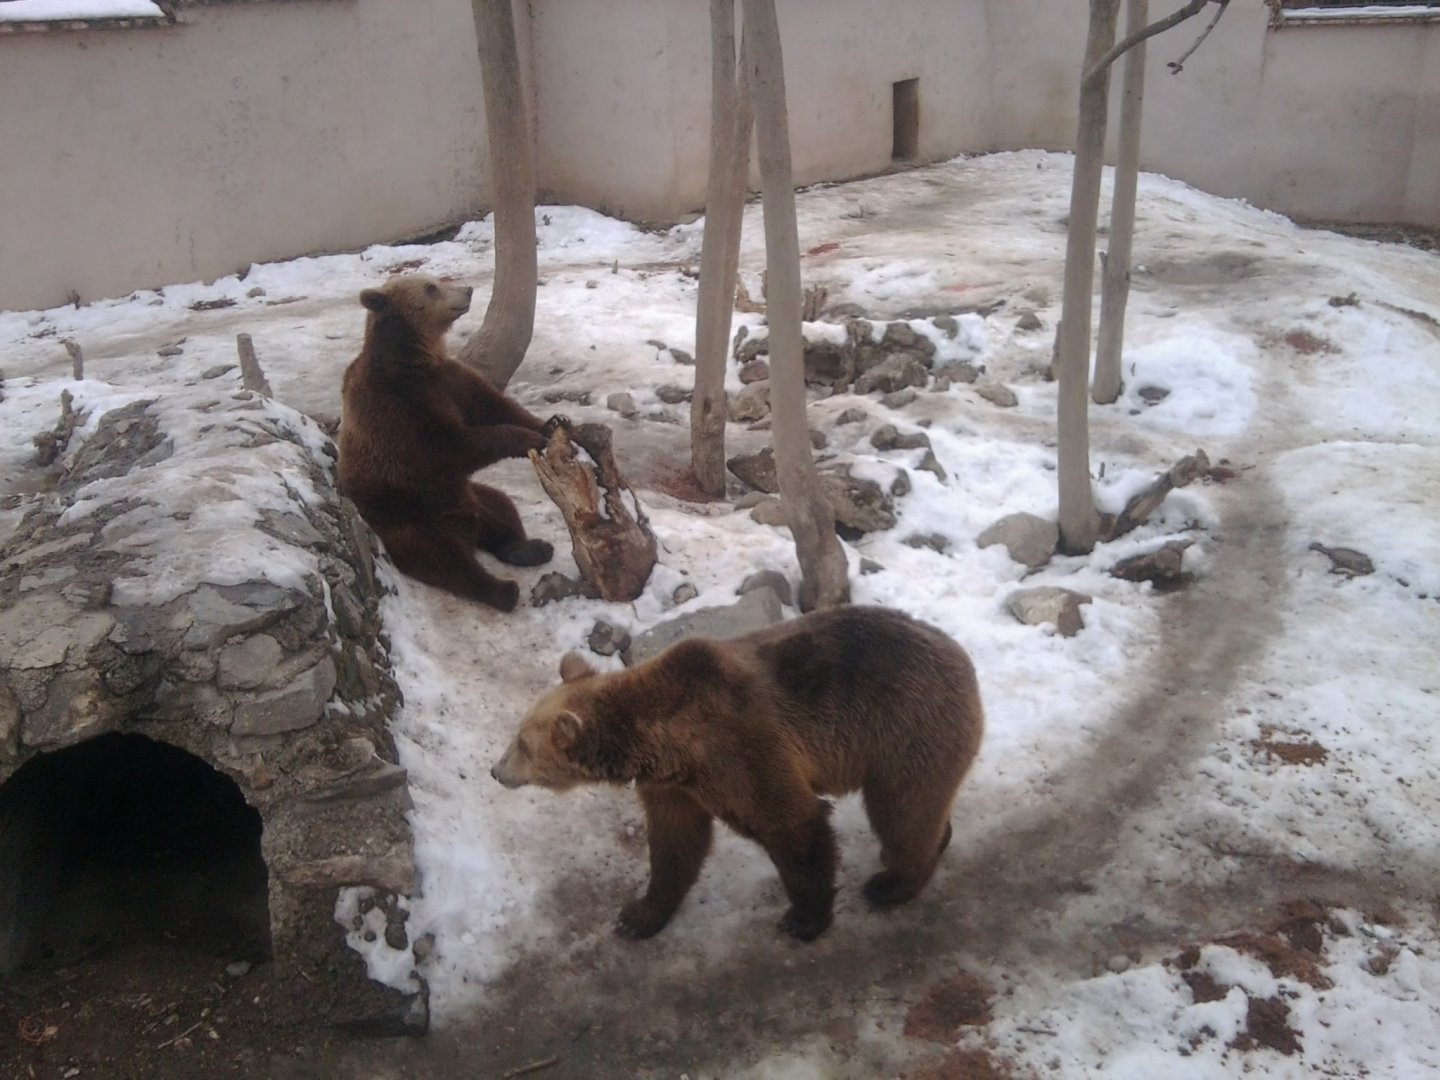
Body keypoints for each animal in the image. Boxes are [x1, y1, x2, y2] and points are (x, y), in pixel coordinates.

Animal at [337, 273, 567, 611]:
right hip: (408, 514)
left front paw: (553, 423)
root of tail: (465, 526)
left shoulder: (450, 379)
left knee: (501, 509)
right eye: (431, 288)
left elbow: (492, 405)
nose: (467, 290)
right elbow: (449, 445)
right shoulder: (398, 404)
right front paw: (527, 438)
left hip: (467, 495)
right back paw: (504, 590)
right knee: (443, 558)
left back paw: (529, 547)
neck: (416, 358)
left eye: (437, 279)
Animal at [490, 604, 984, 942]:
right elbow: (675, 845)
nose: (495, 770)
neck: (667, 741)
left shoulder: (741, 745)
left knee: (902, 807)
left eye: (521, 744)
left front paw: (803, 918)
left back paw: (892, 883)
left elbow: (792, 823)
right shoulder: (673, 786)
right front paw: (638, 915)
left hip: (905, 729)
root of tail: (963, 656)